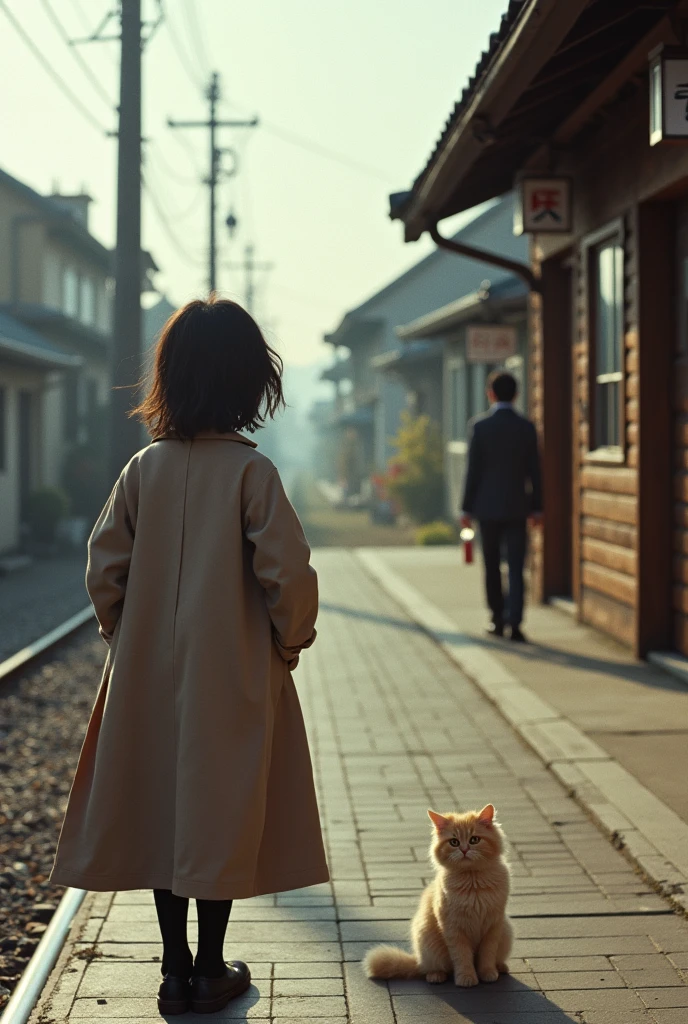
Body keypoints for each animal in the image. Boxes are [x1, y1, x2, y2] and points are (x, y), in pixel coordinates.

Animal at [364, 802, 509, 987]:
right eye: (454, 842)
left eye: (474, 840)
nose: (464, 850)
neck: (473, 882)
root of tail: (418, 960)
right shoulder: (453, 929)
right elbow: (462, 957)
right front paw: (466, 978)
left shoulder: (493, 926)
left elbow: (487, 956)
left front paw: (488, 973)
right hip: (429, 944)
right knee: (432, 969)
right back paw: (436, 976)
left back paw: (501, 967)